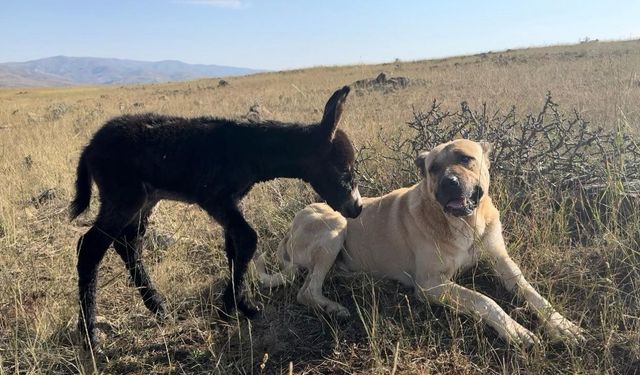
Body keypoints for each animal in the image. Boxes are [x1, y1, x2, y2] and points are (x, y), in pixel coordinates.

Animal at [72, 86, 362, 354]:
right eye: (344, 169)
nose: (357, 208)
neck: (250, 150)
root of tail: (89, 147)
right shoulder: (215, 199)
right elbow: (247, 239)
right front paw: (227, 310)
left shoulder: (231, 203)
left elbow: (234, 247)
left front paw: (244, 306)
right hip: (124, 198)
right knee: (90, 248)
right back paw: (91, 338)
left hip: (143, 202)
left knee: (128, 244)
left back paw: (158, 307)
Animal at [256, 140, 584, 346]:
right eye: (433, 168)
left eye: (465, 158)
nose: (450, 182)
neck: (465, 224)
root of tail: (288, 232)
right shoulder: (430, 285)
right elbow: (484, 300)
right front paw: (516, 331)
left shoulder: (502, 263)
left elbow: (532, 293)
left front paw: (562, 325)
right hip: (335, 225)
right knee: (306, 291)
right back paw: (334, 308)